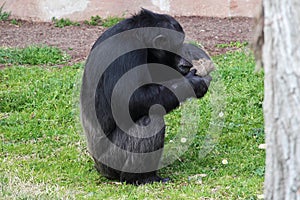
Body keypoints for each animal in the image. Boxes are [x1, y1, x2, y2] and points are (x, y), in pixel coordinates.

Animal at [79, 9, 211, 184]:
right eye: (178, 43)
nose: (184, 51)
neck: (138, 37)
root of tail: (99, 168)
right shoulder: (127, 53)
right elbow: (134, 98)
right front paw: (194, 83)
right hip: (112, 159)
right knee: (151, 121)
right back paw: (143, 177)